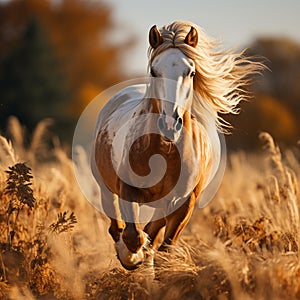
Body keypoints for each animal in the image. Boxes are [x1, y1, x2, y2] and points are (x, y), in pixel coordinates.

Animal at [92, 21, 262, 270]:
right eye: (154, 71)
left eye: (191, 72)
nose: (170, 123)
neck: (164, 150)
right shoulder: (128, 189)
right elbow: (133, 235)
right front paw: (131, 257)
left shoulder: (183, 204)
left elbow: (165, 246)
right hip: (106, 188)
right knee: (117, 226)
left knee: (152, 232)